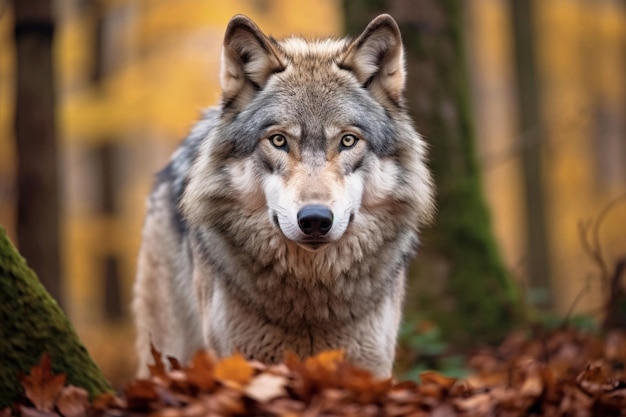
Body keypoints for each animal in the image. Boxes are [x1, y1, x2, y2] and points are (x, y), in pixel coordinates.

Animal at [132, 13, 434, 376]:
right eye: (278, 140)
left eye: (348, 141)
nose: (315, 220)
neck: (310, 296)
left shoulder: (370, 367)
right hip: (168, 345)